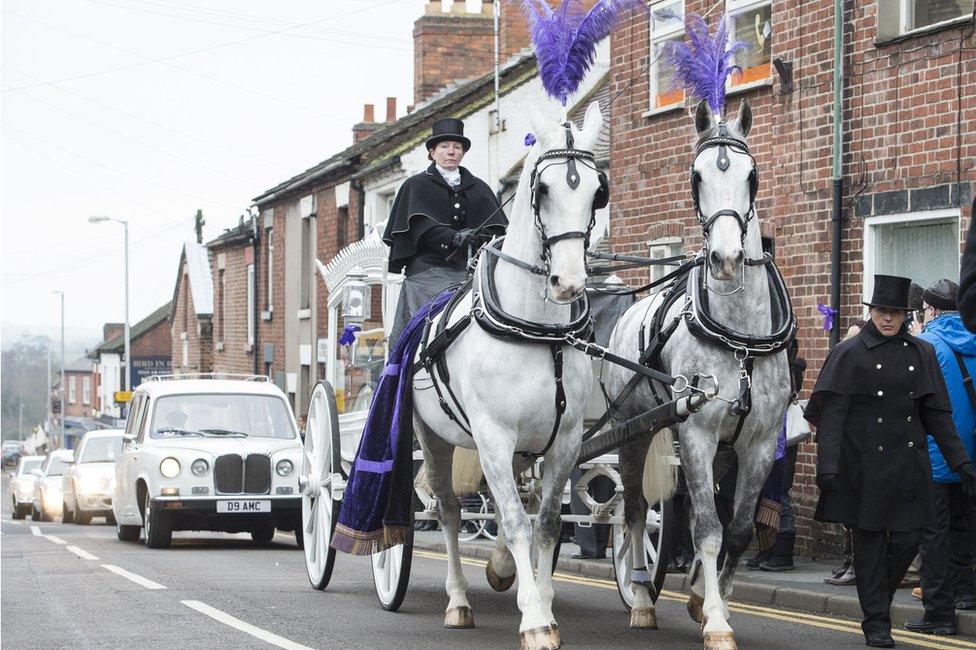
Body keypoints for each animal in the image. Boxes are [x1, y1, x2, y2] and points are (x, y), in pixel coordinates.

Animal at [608, 97, 788, 648]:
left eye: (753, 177)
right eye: (696, 176)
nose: (726, 259)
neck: (742, 337)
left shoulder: (759, 442)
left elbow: (740, 528)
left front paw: (710, 601)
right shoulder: (698, 434)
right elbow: (707, 528)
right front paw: (716, 621)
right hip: (633, 432)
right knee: (635, 510)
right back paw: (641, 597)